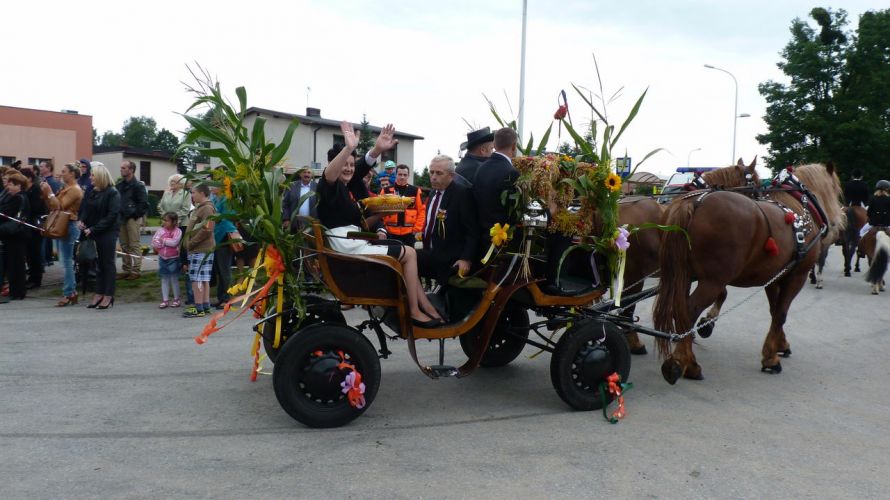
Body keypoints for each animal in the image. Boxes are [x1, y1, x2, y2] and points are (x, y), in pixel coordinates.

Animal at [612, 158, 760, 354]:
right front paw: (705, 325)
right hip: (634, 272)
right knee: (626, 308)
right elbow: (721, 294)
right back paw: (635, 343)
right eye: (756, 184)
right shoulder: (710, 274)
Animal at [648, 162, 844, 380]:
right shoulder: (797, 276)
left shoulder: (773, 277)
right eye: (836, 189)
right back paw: (683, 363)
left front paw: (780, 344)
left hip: (682, 274)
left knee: (680, 310)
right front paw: (770, 357)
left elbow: (774, 311)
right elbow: (781, 313)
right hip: (711, 280)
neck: (799, 208)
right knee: (689, 310)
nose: (838, 225)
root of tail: (693, 203)